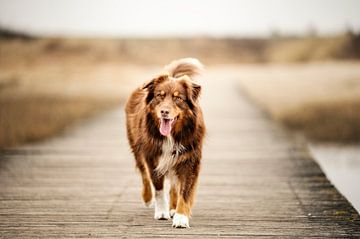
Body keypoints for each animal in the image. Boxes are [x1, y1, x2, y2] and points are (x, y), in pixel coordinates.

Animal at [126, 58, 205, 228]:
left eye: (178, 98)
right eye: (159, 96)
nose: (164, 112)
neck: (171, 136)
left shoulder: (189, 159)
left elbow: (185, 191)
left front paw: (181, 217)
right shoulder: (152, 157)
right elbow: (158, 187)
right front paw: (161, 212)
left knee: (175, 184)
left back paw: (173, 208)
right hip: (136, 147)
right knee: (144, 174)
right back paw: (147, 198)